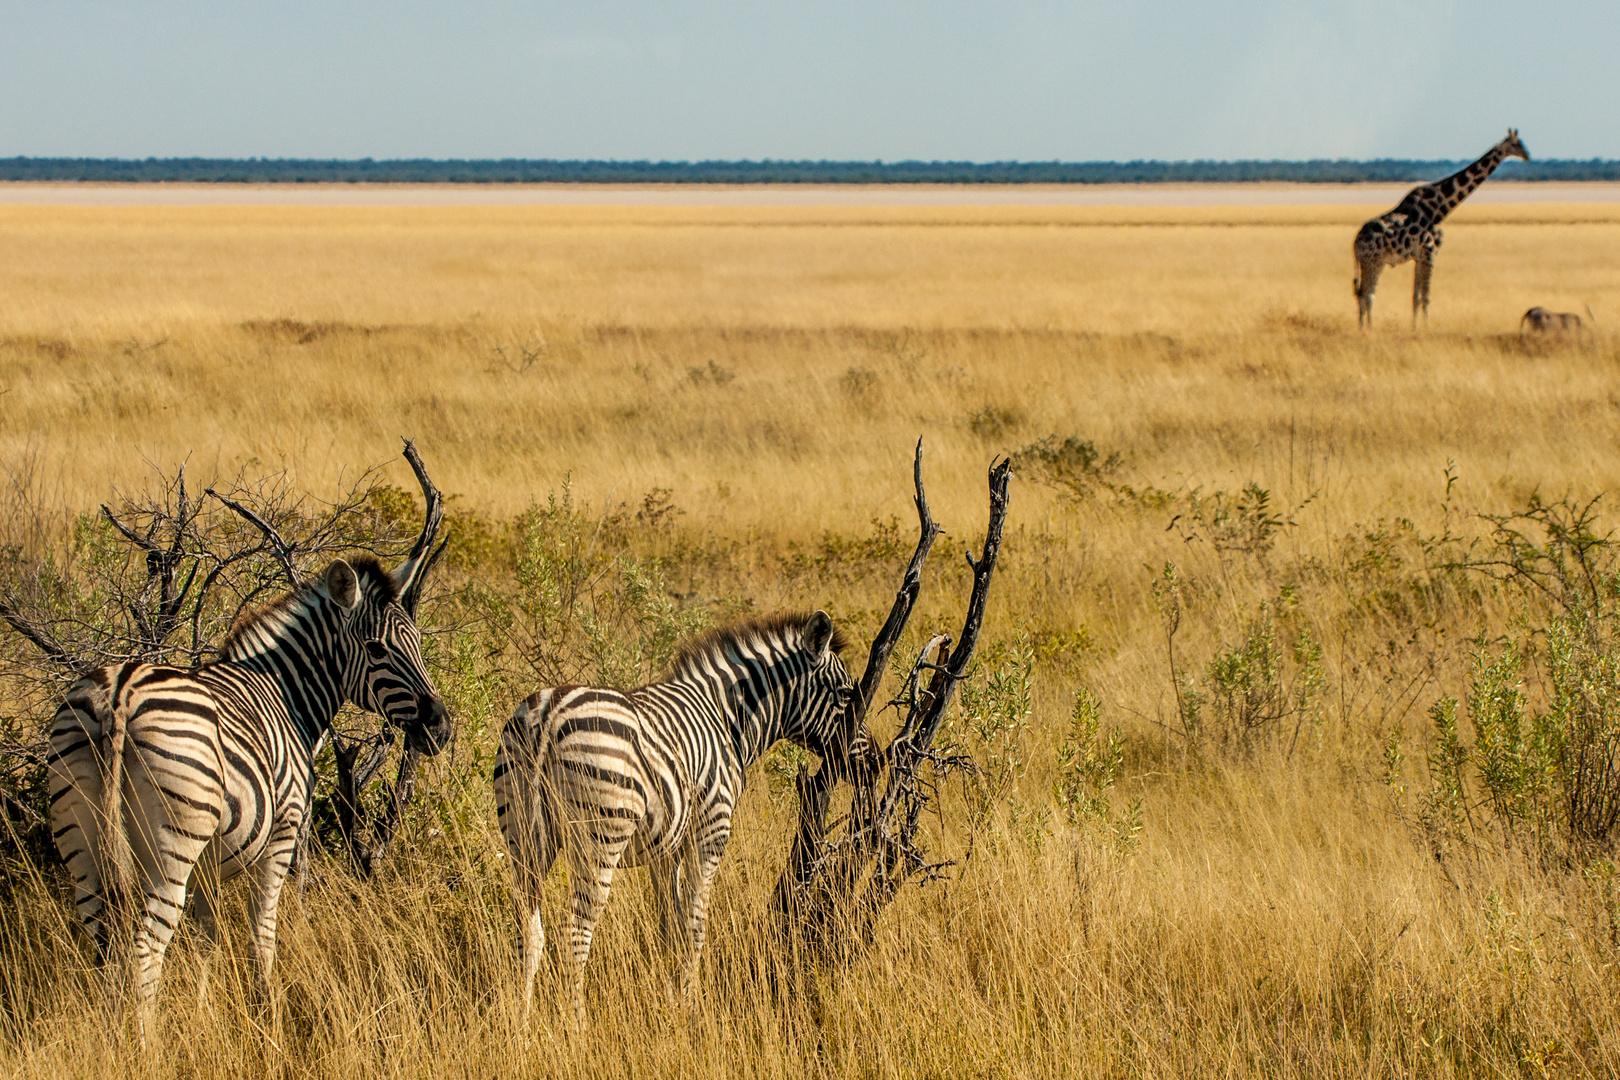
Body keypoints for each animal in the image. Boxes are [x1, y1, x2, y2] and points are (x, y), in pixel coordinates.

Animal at [48, 537, 453, 1036]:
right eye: (376, 649)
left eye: (416, 643)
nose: (441, 728)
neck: (288, 696)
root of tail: (118, 694)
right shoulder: (284, 830)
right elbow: (263, 931)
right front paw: (268, 1015)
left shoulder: (208, 864)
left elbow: (207, 941)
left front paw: (205, 1017)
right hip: (171, 845)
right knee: (145, 947)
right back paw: (146, 1044)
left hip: (81, 834)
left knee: (103, 941)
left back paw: (113, 1038)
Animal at [492, 612, 874, 1029]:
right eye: (846, 696)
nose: (875, 761)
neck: (729, 720)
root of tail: (548, 713)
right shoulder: (711, 830)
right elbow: (695, 924)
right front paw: (689, 1006)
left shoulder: (665, 848)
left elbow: (669, 927)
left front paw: (668, 998)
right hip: (600, 839)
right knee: (575, 934)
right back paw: (577, 1027)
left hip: (524, 835)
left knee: (528, 933)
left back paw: (521, 1024)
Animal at [1354, 130, 1529, 327]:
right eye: (1516, 144)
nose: (1527, 156)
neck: (1439, 209)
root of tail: (1355, 244)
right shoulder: (1430, 253)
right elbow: (1426, 297)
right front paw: (1426, 327)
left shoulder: (1420, 257)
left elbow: (1415, 297)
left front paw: (1415, 327)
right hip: (1372, 261)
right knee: (1366, 294)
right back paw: (1368, 328)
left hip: (1375, 262)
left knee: (1364, 294)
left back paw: (1364, 328)